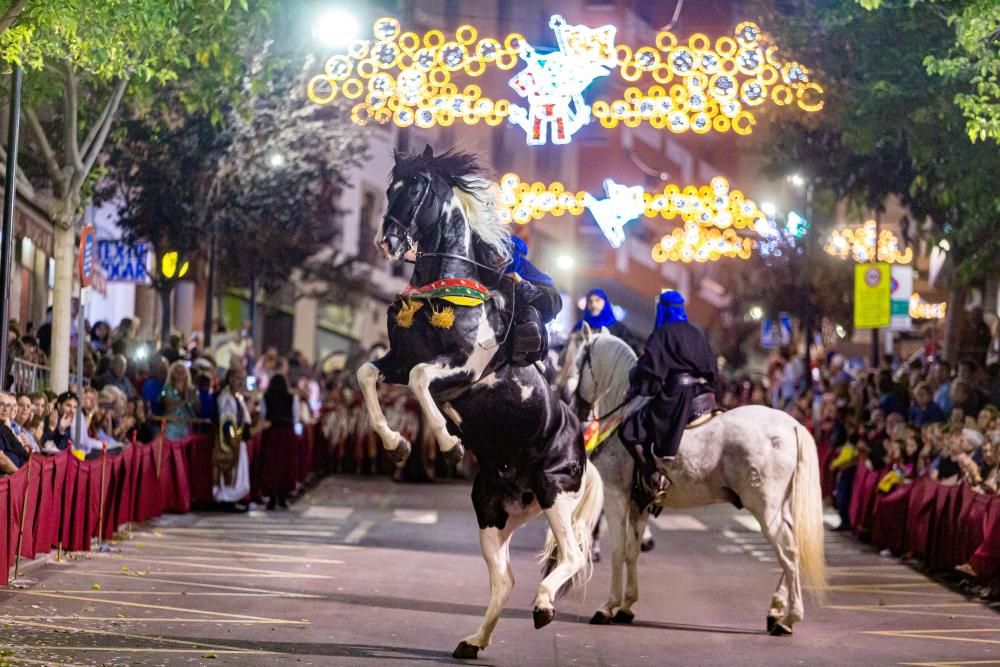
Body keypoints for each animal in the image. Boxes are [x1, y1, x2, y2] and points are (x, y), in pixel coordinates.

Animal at [356, 144, 600, 660]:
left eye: (418, 188)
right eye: (390, 187)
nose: (387, 242)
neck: (448, 287)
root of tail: (582, 448)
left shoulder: (463, 369)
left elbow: (421, 381)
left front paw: (448, 445)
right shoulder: (399, 359)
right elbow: (368, 373)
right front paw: (397, 444)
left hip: (554, 489)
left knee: (569, 555)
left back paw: (544, 606)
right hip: (492, 508)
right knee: (505, 581)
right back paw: (473, 640)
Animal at [568, 328, 824, 636]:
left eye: (580, 362)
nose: (575, 407)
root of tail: (793, 425)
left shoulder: (616, 495)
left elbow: (618, 550)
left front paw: (608, 607)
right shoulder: (640, 503)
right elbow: (632, 551)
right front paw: (627, 605)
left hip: (765, 508)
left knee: (787, 552)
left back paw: (789, 619)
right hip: (780, 508)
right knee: (789, 550)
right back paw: (775, 611)